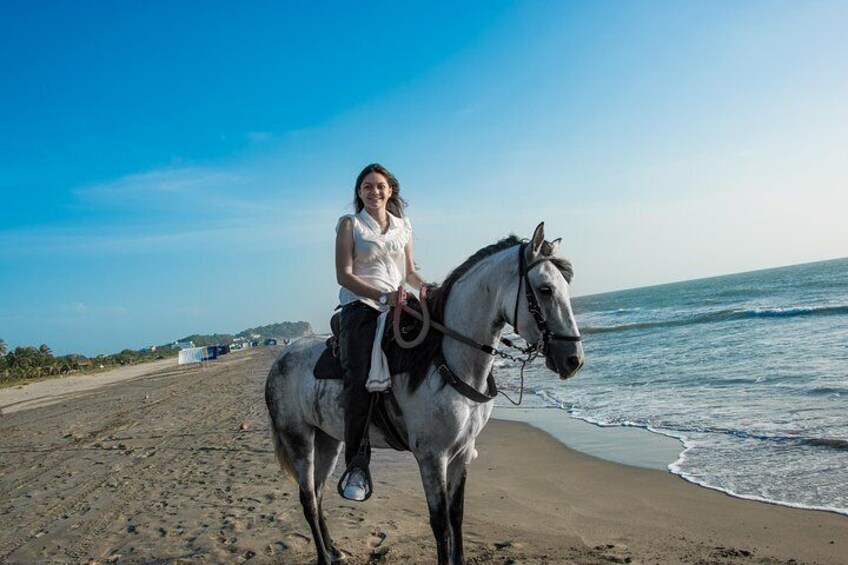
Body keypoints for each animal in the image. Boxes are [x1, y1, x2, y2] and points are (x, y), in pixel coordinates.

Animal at [264, 223, 584, 560]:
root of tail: (281, 358)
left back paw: (334, 550)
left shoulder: (462, 453)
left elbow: (456, 516)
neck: (444, 358)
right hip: (299, 439)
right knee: (307, 500)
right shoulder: (432, 456)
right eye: (546, 289)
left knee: (318, 491)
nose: (573, 360)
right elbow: (440, 523)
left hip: (329, 439)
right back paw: (324, 556)